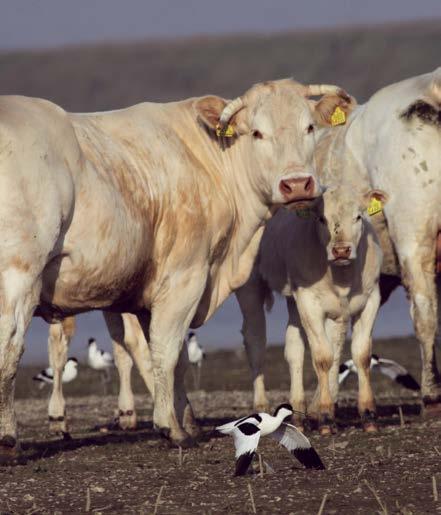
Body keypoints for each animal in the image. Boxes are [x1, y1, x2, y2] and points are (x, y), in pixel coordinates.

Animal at [0, 77, 352, 456]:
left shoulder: (154, 291)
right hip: (19, 274)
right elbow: (166, 352)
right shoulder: (186, 276)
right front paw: (170, 427)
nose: (297, 183)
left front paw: (186, 421)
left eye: (310, 126)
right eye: (257, 132)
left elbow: (172, 358)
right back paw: (8, 439)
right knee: (9, 346)